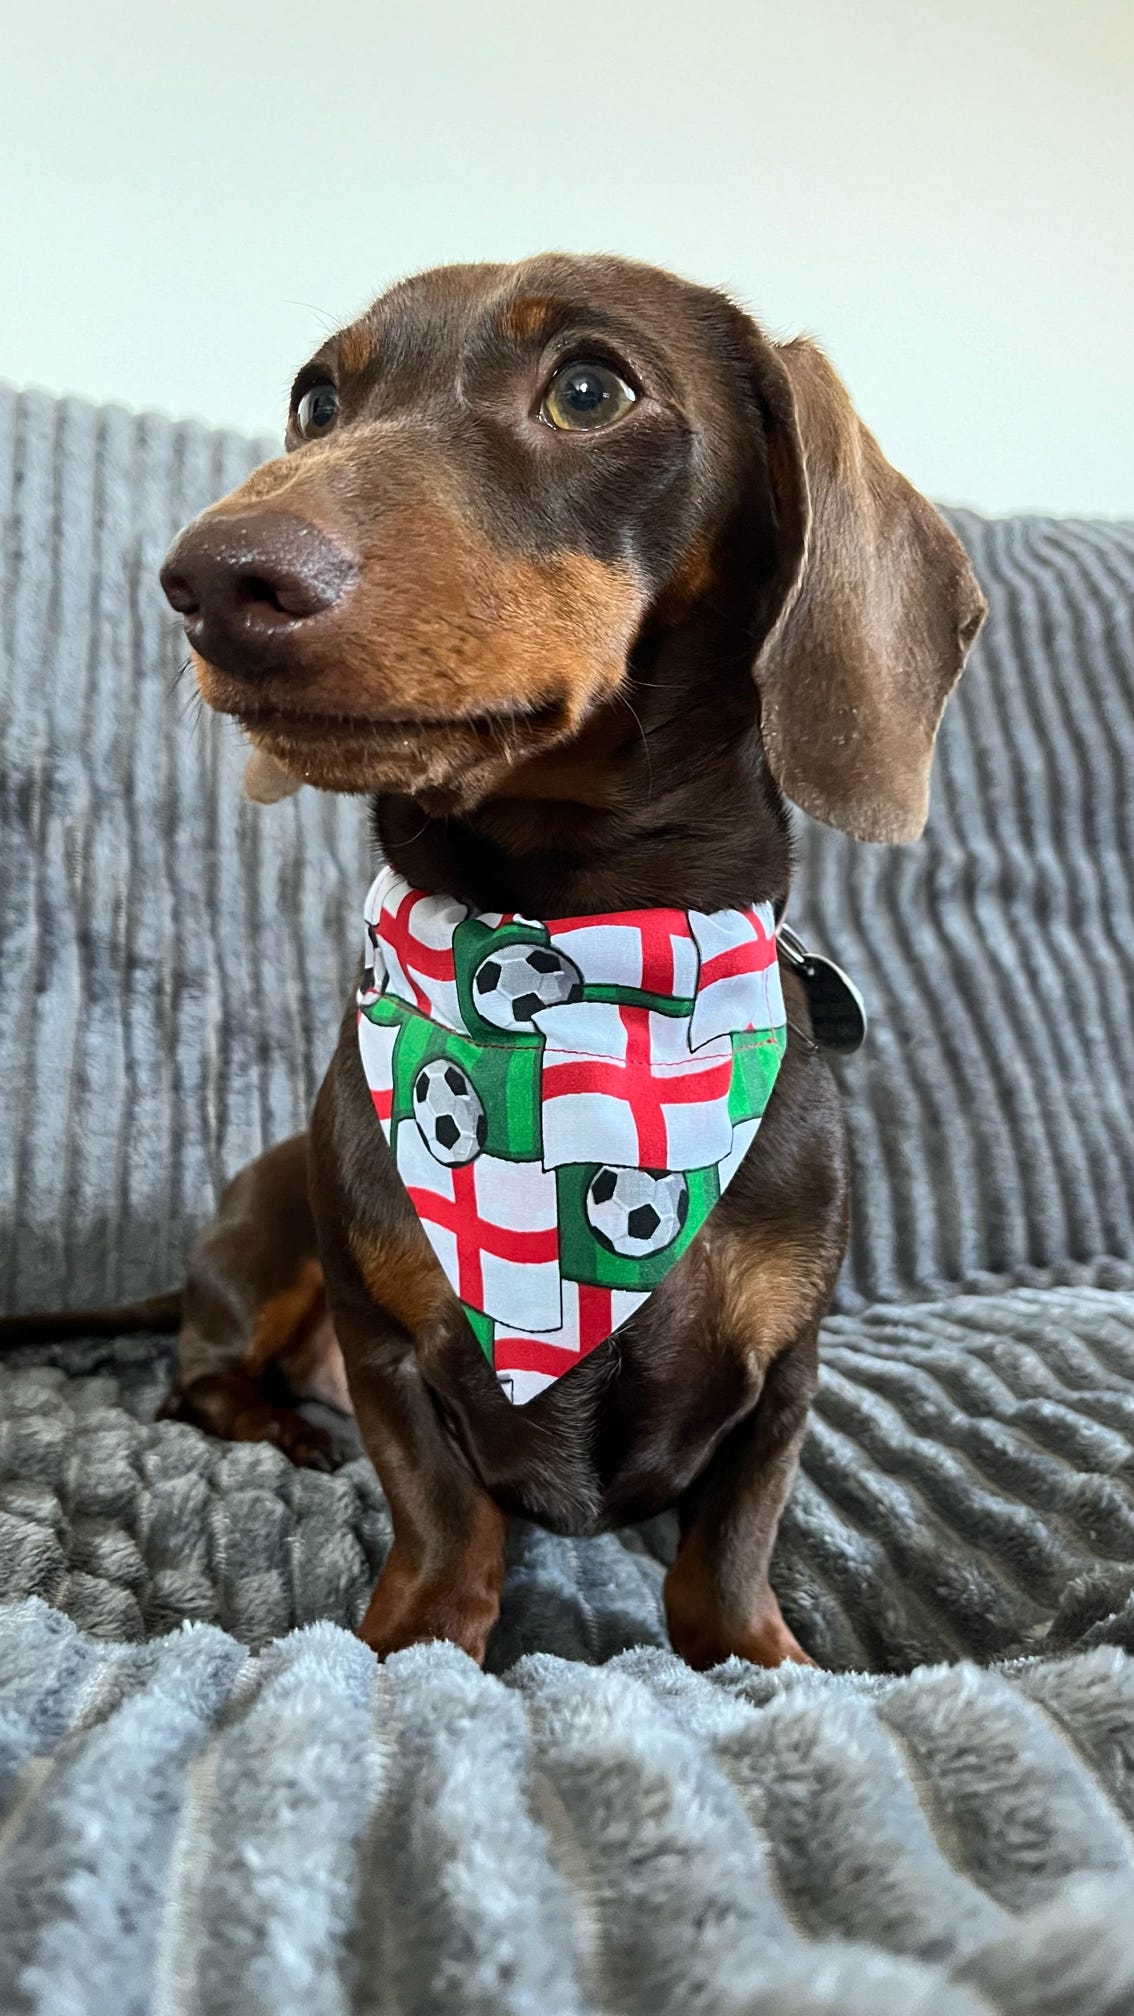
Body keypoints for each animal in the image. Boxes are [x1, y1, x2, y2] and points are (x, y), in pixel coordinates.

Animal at [6, 252, 980, 1669]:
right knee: (200, 1377)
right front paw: (415, 1636)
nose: (212, 579)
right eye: (316, 401)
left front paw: (761, 1658)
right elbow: (440, 1512)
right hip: (270, 1230)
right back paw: (276, 1422)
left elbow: (730, 1549)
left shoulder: (787, 1369)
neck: (574, 943)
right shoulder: (386, 1344)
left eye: (588, 390)